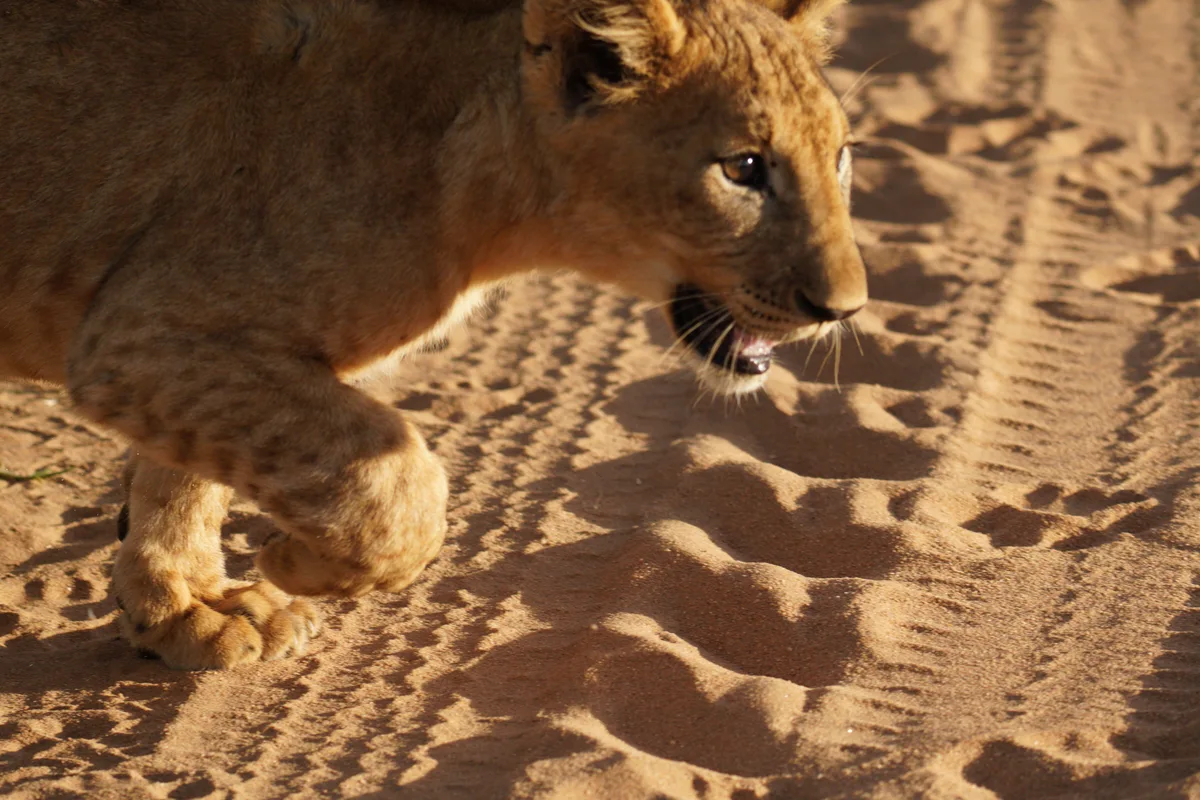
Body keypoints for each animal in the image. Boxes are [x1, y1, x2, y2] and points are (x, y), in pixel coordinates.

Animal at [0, 0, 867, 668]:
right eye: (743, 168)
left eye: (842, 157)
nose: (845, 308)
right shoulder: (144, 334)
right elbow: (400, 483)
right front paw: (293, 562)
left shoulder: (168, 343)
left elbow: (183, 477)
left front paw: (186, 613)